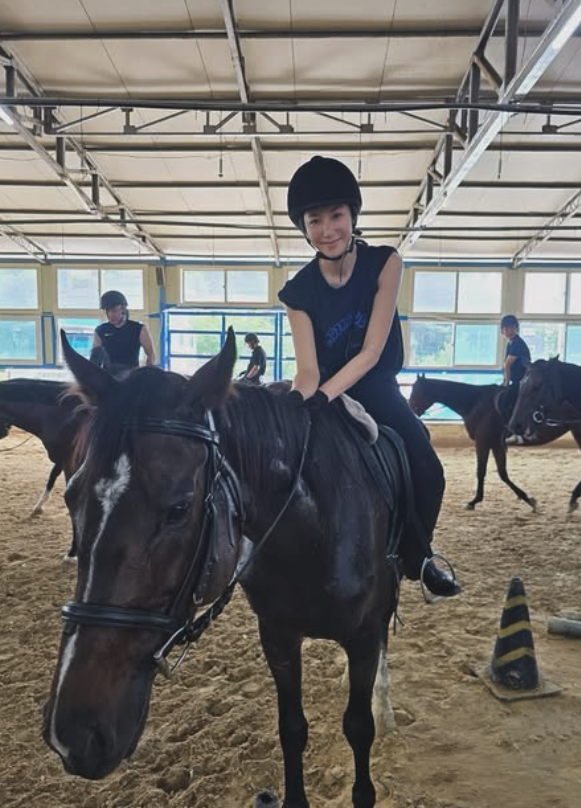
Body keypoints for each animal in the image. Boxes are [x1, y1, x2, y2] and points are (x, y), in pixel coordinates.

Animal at [0, 378, 84, 554]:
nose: (5, 430)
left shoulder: (71, 465)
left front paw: (72, 552)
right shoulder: (62, 460)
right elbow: (52, 477)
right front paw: (38, 508)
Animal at [43, 329, 409, 808]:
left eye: (179, 509)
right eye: (71, 496)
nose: (73, 735)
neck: (313, 532)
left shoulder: (362, 637)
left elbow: (358, 726)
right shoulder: (278, 637)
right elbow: (292, 729)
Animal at [408, 374, 568, 511]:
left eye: (416, 391)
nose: (411, 409)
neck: (476, 403)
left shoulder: (483, 442)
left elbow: (482, 471)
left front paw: (474, 501)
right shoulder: (496, 445)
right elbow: (503, 473)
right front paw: (526, 498)